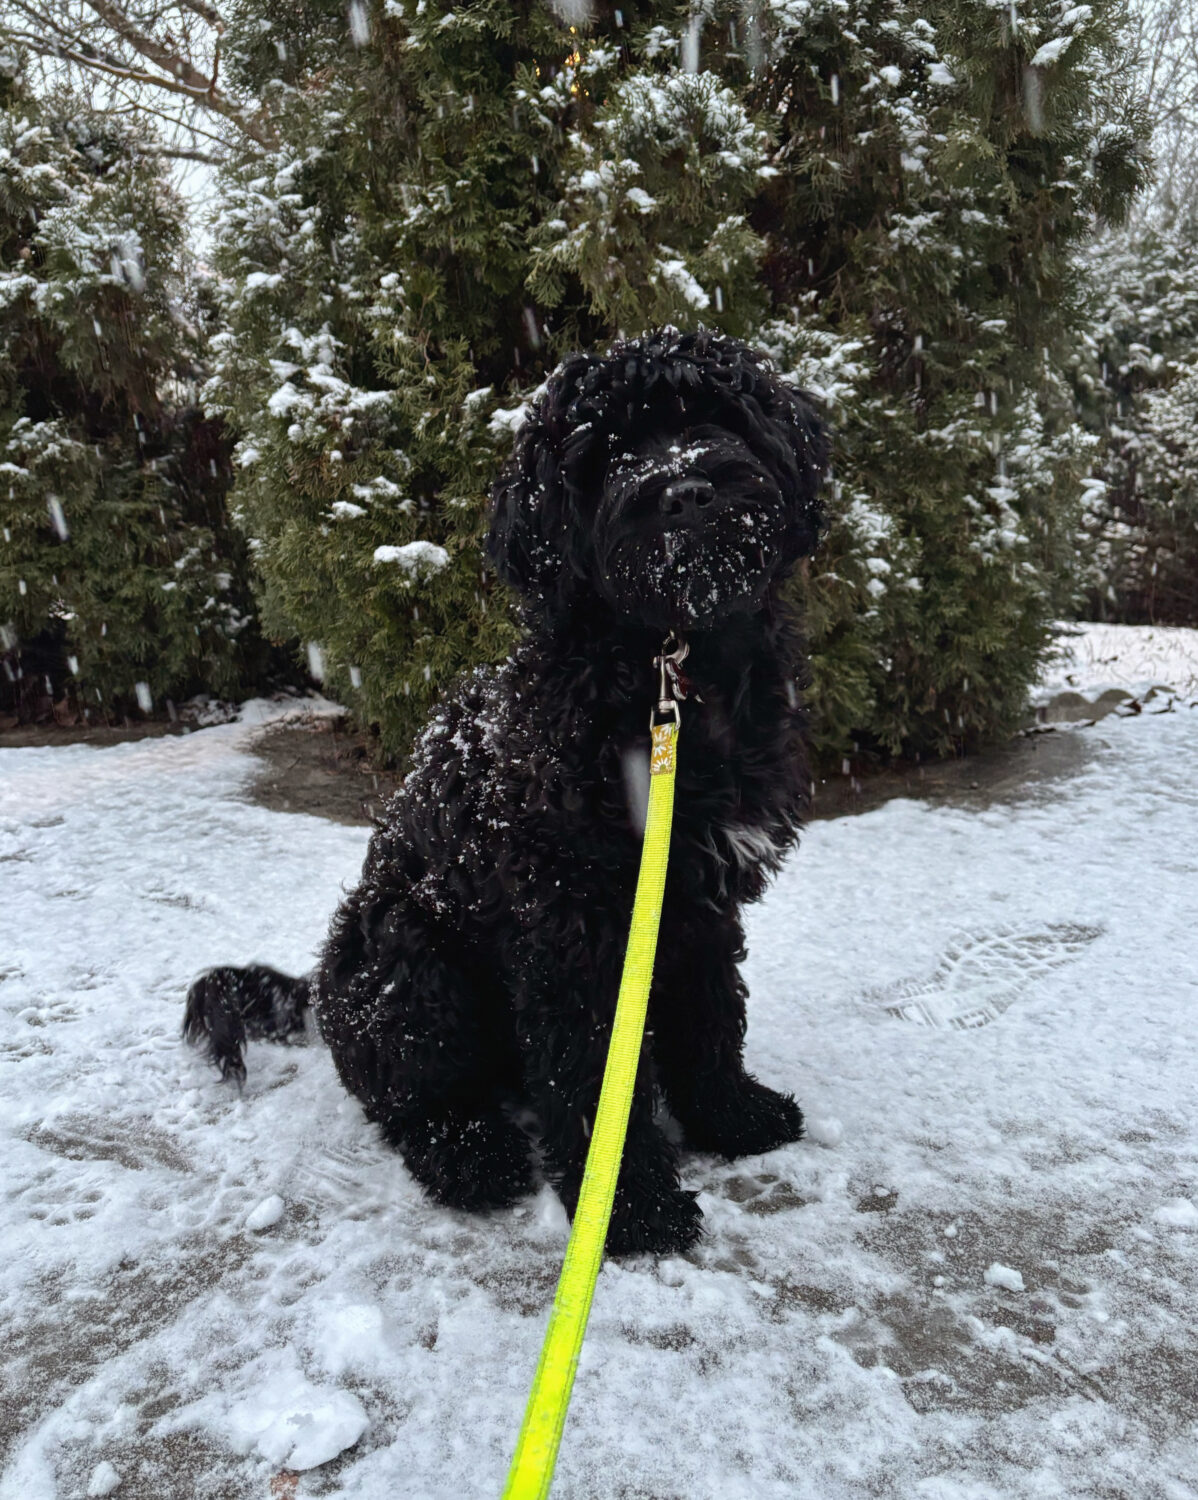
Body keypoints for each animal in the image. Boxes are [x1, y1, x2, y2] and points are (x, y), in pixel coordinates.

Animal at [185, 328, 827, 1254]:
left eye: (715, 415)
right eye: (604, 453)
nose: (685, 490)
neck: (669, 671)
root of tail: (321, 992)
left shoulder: (698, 900)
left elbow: (710, 1014)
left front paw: (731, 1117)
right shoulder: (568, 924)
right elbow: (592, 1076)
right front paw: (631, 1209)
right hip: (409, 955)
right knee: (411, 1100)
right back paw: (469, 1156)